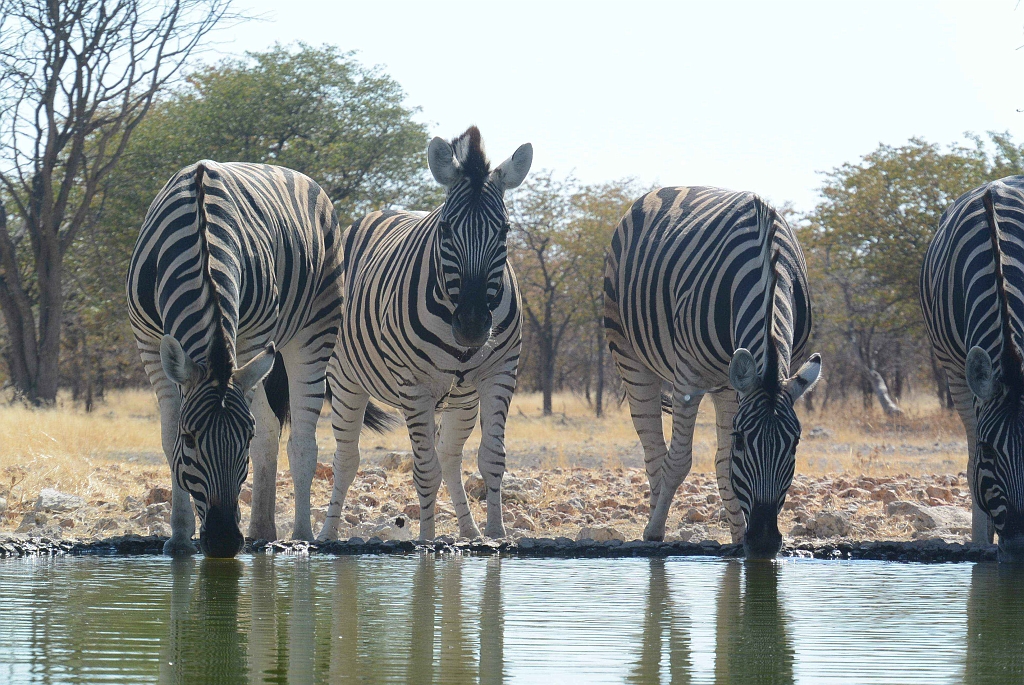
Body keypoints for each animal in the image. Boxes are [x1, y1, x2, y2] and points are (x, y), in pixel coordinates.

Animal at [128, 158, 385, 557]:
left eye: (242, 438)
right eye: (190, 438)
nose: (223, 540)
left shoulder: (254, 337)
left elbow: (263, 433)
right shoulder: (149, 343)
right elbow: (168, 437)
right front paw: (179, 536)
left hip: (315, 330)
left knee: (299, 441)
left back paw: (299, 534)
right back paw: (261, 530)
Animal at [317, 126, 532, 540]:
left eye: (505, 230)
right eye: (445, 229)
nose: (472, 326)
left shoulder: (499, 375)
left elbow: (491, 459)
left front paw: (496, 534)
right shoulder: (415, 385)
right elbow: (424, 470)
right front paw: (427, 543)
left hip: (460, 399)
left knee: (449, 457)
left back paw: (471, 532)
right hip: (346, 380)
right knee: (347, 459)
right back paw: (326, 534)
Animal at [602, 185, 819, 557]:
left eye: (794, 444)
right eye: (742, 441)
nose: (763, 542)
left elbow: (724, 464)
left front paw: (739, 539)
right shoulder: (688, 377)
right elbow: (678, 462)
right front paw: (655, 531)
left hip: (729, 385)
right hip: (628, 352)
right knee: (654, 450)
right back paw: (655, 520)